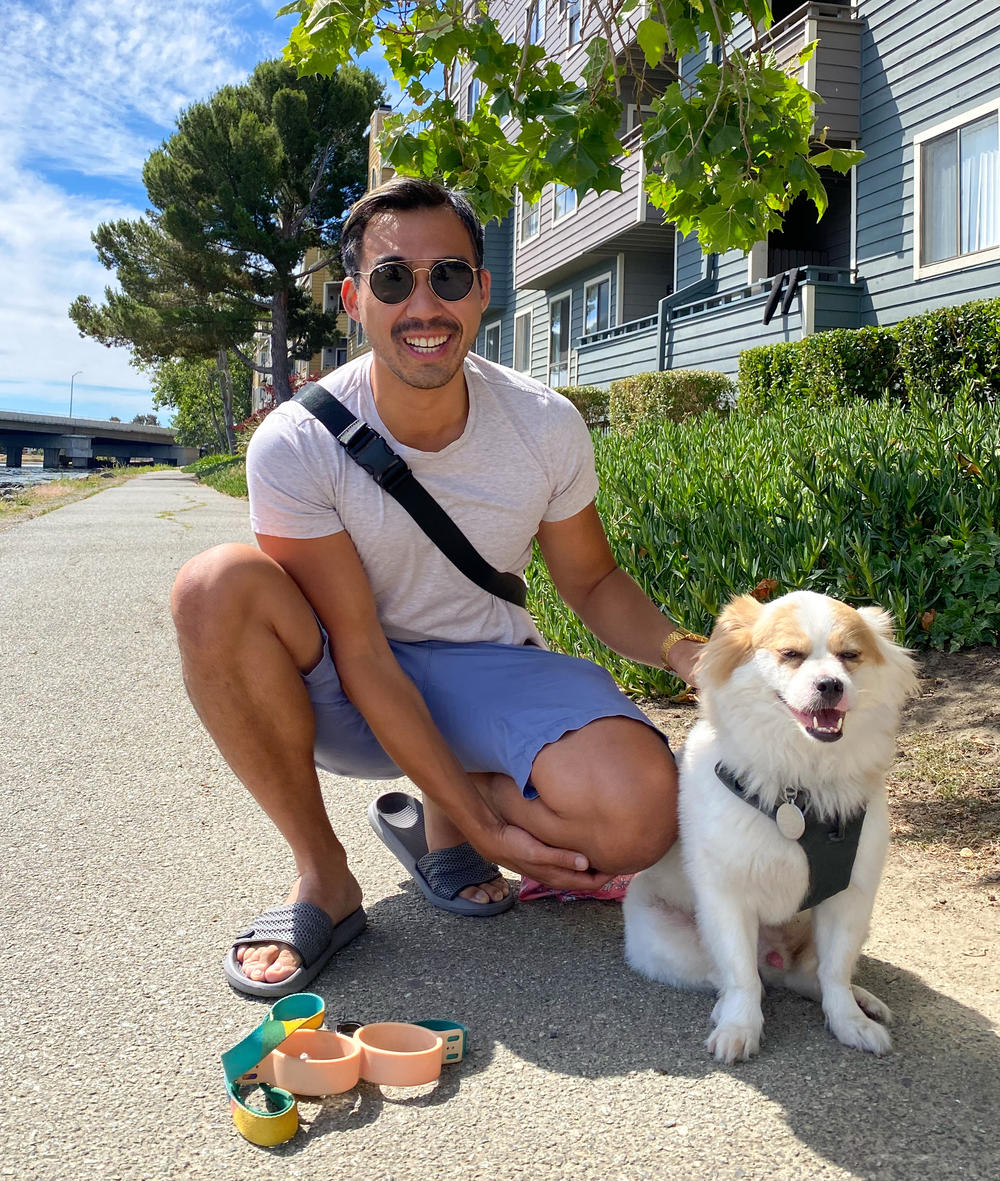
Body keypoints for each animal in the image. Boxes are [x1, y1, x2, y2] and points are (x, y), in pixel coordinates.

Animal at [623, 590, 916, 1062]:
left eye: (849, 656)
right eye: (790, 654)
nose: (831, 684)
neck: (799, 788)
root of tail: (776, 958)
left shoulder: (849, 899)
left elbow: (835, 973)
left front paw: (849, 1021)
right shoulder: (727, 900)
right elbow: (741, 975)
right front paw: (739, 1027)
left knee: (806, 976)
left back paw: (860, 1000)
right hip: (664, 938)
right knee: (735, 978)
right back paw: (728, 1005)